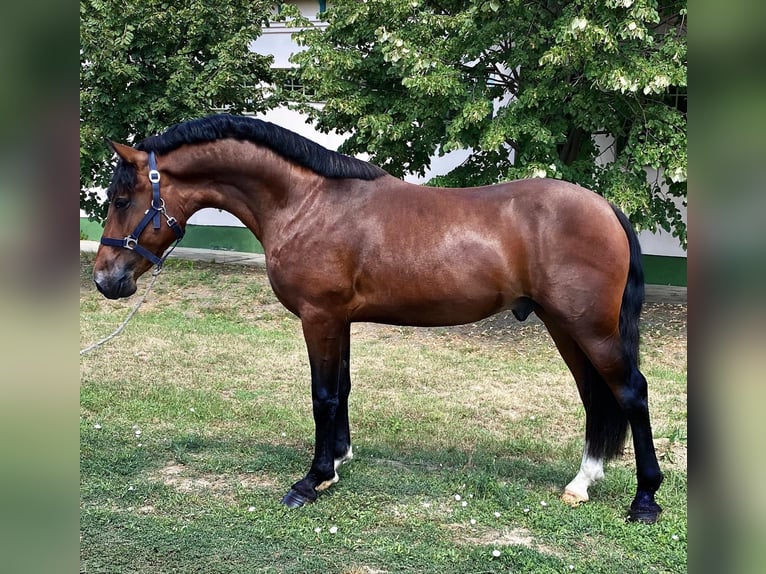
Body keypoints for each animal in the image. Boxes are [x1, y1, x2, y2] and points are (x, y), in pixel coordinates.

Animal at [91, 113, 664, 528]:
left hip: (589, 328)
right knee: (595, 396)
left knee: (631, 393)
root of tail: (606, 207)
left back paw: (644, 501)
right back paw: (582, 483)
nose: (105, 280)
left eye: (121, 197)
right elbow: (342, 389)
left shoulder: (319, 316)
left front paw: (311, 480)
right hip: (565, 326)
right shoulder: (339, 319)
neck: (306, 203)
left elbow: (323, 395)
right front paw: (339, 460)